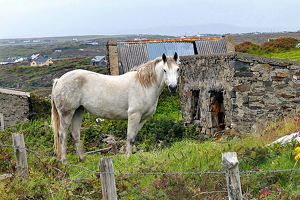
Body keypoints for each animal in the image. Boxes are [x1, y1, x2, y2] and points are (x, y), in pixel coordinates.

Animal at [51, 52, 180, 162]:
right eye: (164, 70)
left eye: (178, 69)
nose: (173, 88)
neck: (144, 85)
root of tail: (58, 80)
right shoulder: (134, 115)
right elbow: (130, 137)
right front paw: (128, 157)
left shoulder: (143, 118)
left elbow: (134, 137)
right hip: (67, 113)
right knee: (62, 134)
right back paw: (65, 161)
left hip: (78, 111)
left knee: (75, 134)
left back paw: (83, 159)